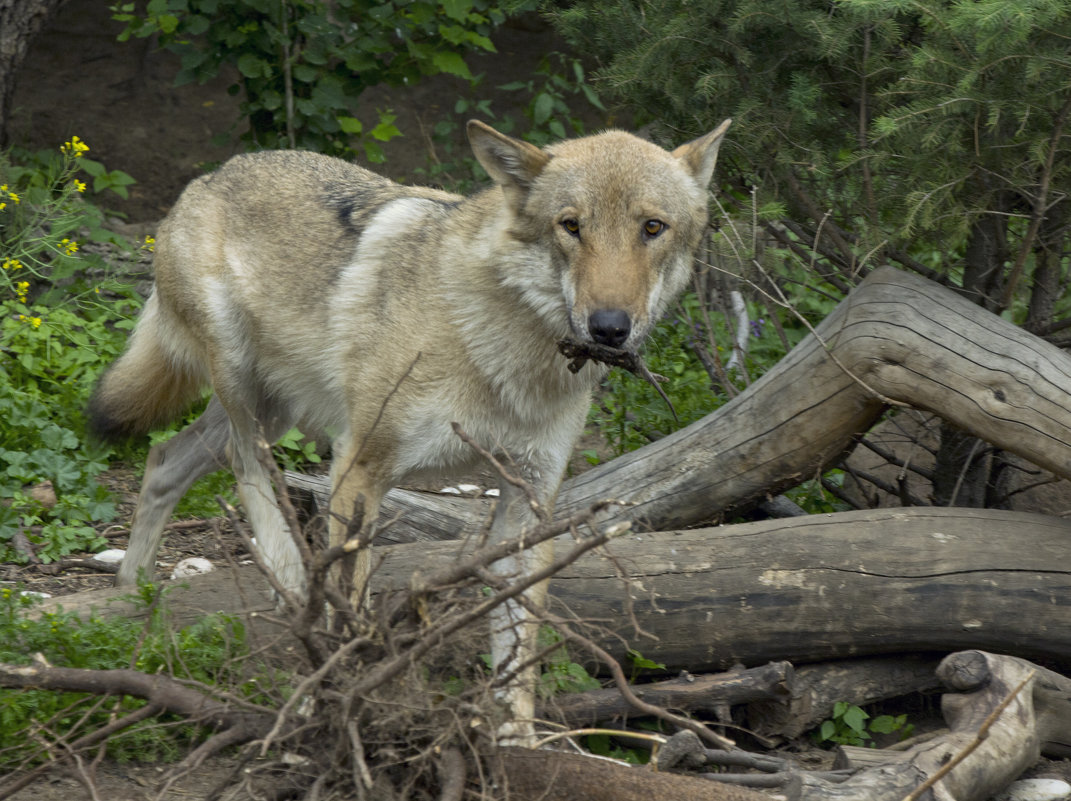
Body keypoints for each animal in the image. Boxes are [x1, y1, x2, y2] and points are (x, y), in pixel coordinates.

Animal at [89, 117, 728, 736]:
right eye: (571, 226)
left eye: (652, 227)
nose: (609, 327)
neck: (504, 353)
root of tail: (209, 177)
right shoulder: (358, 465)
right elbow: (351, 614)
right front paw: (342, 716)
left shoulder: (530, 500)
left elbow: (517, 658)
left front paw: (517, 746)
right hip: (247, 393)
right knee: (249, 474)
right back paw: (287, 578)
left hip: (275, 410)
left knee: (165, 460)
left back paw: (132, 591)